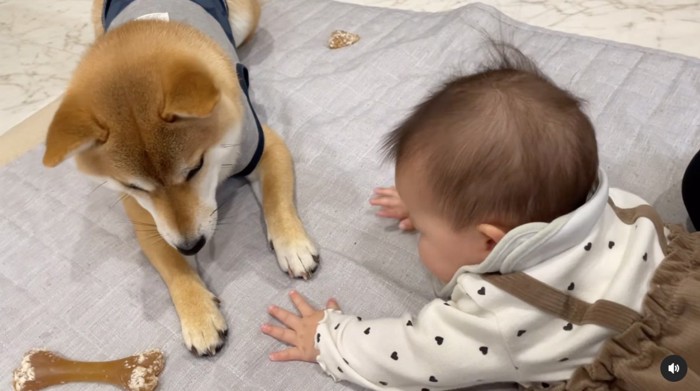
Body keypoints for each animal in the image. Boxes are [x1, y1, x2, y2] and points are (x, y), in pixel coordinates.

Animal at [41, 0, 320, 356]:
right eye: (133, 186)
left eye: (195, 168)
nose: (191, 246)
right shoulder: (144, 214)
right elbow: (172, 265)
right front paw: (197, 312)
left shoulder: (265, 146)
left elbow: (277, 198)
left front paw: (292, 245)